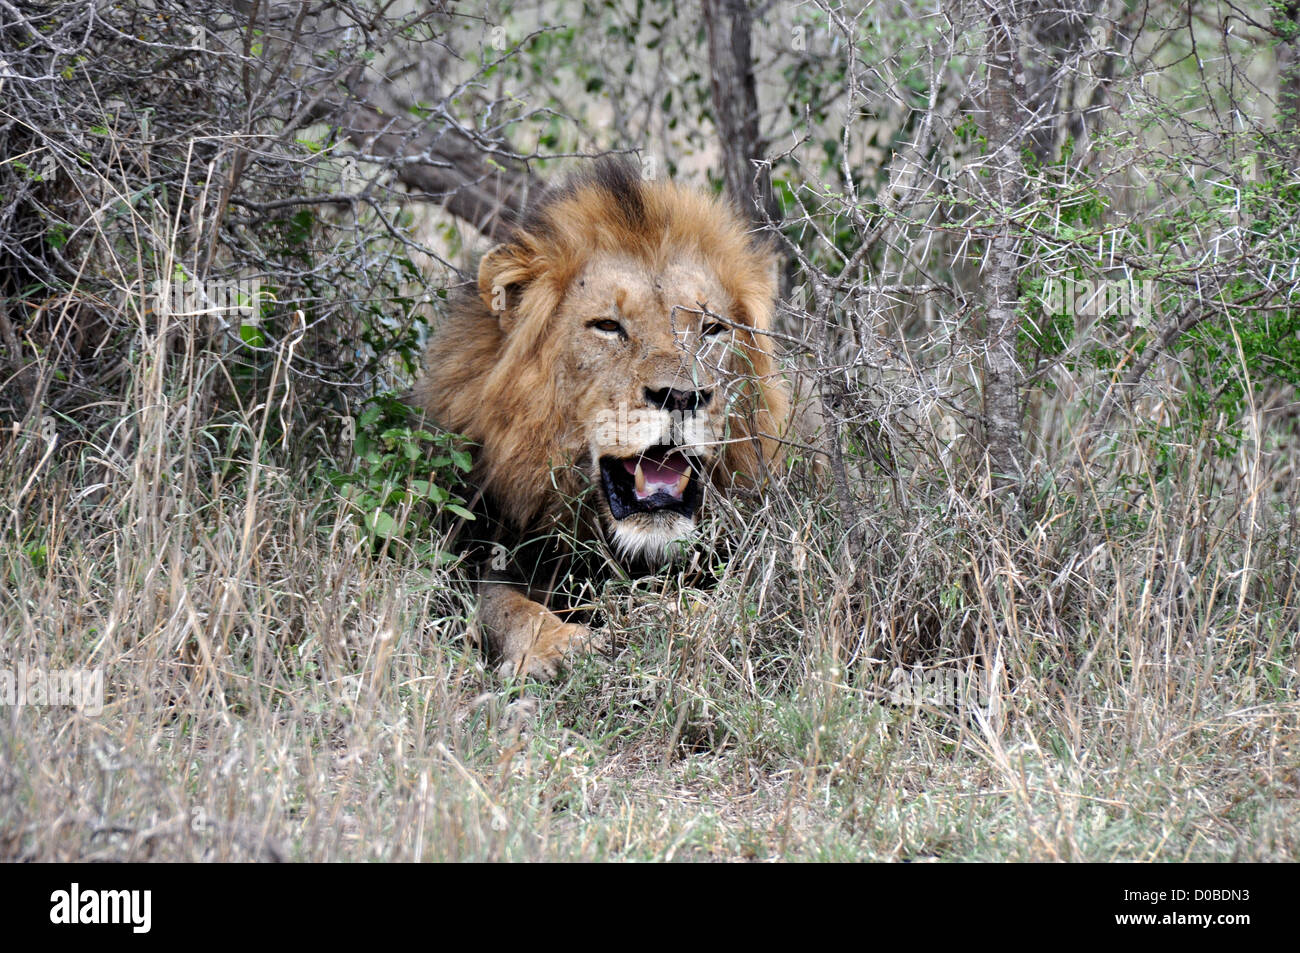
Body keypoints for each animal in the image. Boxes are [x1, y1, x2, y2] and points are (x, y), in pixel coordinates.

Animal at [413, 159, 789, 679]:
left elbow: (732, 598)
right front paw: (561, 647)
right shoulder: (475, 553)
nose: (681, 395)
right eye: (608, 327)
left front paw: (669, 617)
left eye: (713, 329)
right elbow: (501, 606)